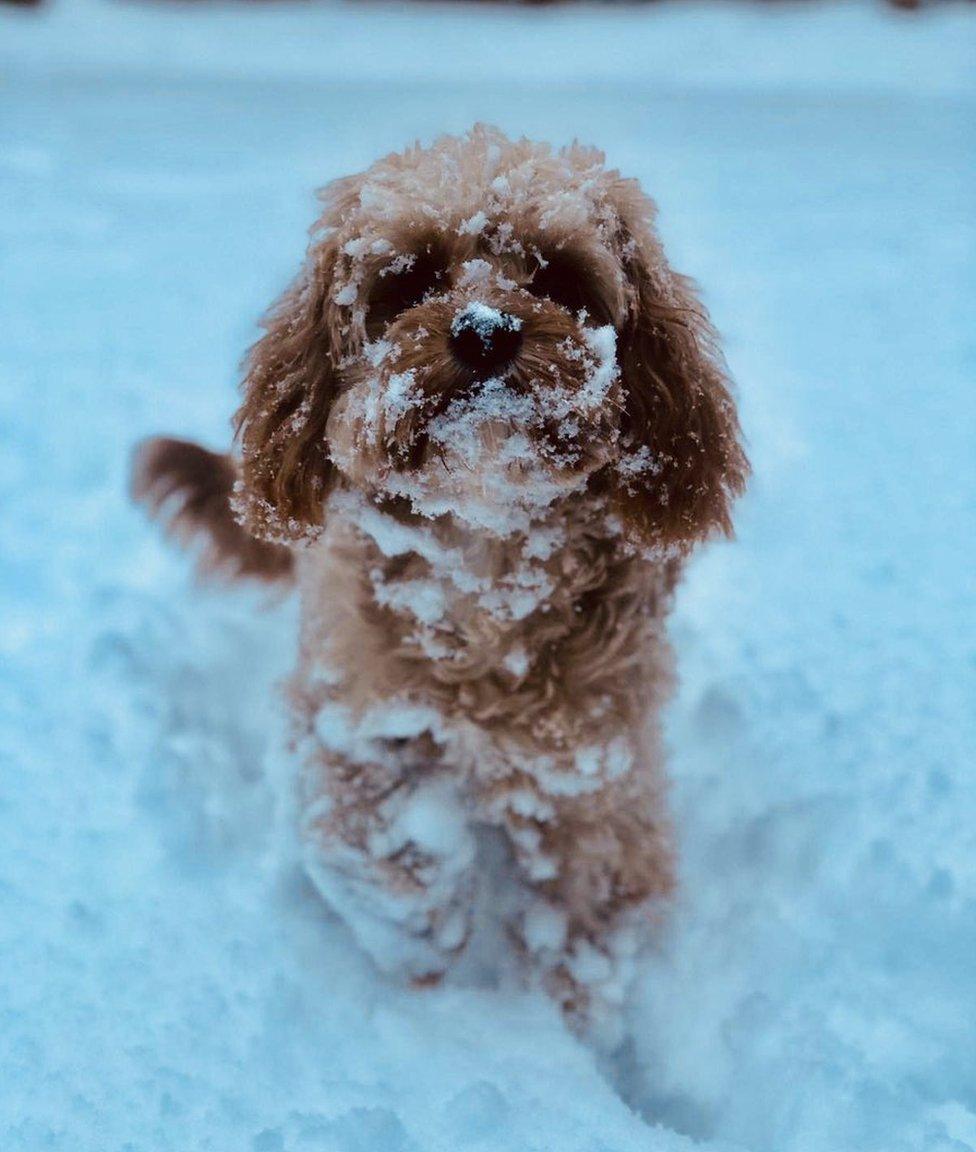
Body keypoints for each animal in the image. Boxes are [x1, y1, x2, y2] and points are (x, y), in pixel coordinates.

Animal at [133, 123, 746, 1036]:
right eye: (411, 279)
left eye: (561, 278)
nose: (486, 331)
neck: (485, 556)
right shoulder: (350, 713)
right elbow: (376, 850)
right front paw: (424, 951)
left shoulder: (594, 766)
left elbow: (589, 909)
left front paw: (578, 1027)